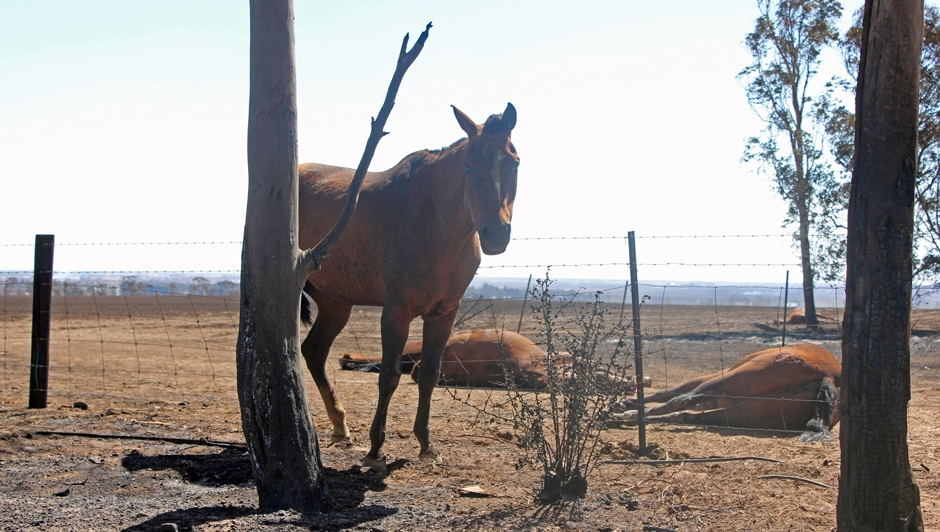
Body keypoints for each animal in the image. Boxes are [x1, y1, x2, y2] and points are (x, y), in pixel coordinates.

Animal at [298, 103, 516, 470]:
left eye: (514, 162)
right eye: (469, 164)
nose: (496, 234)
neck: (435, 222)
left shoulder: (444, 313)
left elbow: (428, 374)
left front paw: (427, 445)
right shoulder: (397, 312)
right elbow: (388, 376)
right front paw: (376, 449)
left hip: (335, 303)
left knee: (313, 351)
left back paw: (340, 426)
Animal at [628, 342, 840, 438]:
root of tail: (830, 376)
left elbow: (668, 393)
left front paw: (627, 403)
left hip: (732, 378)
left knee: (683, 401)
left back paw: (629, 415)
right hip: (746, 414)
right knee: (686, 415)